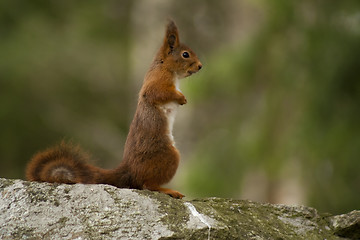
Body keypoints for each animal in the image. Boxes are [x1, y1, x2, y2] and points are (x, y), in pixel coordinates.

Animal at [26, 19, 202, 199]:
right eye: (185, 54)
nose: (200, 66)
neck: (165, 66)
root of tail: (129, 170)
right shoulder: (158, 80)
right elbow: (158, 93)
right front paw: (181, 97)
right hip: (168, 156)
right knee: (147, 185)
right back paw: (167, 190)